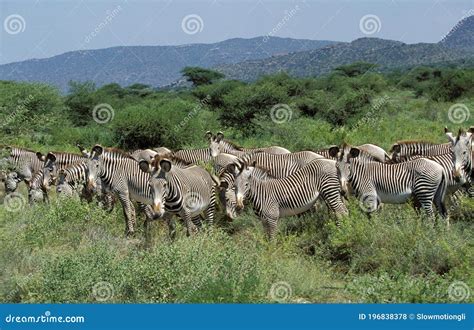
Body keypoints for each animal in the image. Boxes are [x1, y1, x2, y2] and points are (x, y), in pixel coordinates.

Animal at [219, 158, 348, 240]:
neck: (261, 192)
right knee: (343, 211)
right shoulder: (264, 220)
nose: (239, 206)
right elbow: (267, 238)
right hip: (331, 194)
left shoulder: (272, 218)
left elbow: (272, 239)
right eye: (235, 186)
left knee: (340, 212)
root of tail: (333, 162)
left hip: (330, 191)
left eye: (246, 185)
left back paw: (340, 234)